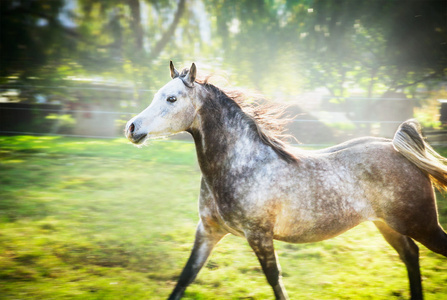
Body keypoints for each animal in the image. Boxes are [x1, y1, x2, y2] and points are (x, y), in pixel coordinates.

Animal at [125, 62, 447, 298]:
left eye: (171, 98)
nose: (131, 128)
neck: (242, 165)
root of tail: (398, 150)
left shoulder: (259, 236)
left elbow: (274, 281)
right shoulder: (208, 231)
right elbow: (184, 279)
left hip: (421, 224)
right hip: (389, 226)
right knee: (411, 256)